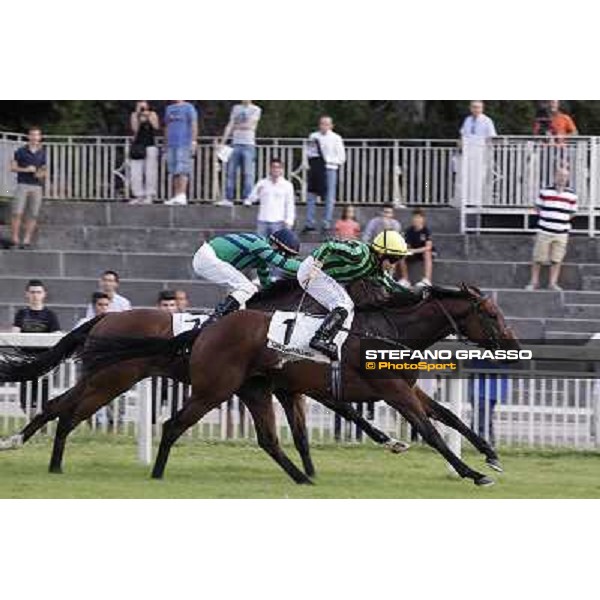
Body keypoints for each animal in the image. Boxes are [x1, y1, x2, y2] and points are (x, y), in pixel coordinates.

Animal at [82, 282, 516, 488]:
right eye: (492, 314)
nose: (512, 346)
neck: (392, 331)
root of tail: (207, 329)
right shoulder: (391, 391)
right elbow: (431, 432)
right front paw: (473, 473)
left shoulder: (406, 388)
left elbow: (449, 418)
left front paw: (491, 455)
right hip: (212, 389)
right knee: (173, 424)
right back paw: (156, 474)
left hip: (251, 388)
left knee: (267, 438)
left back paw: (302, 476)